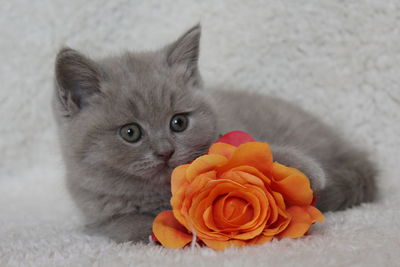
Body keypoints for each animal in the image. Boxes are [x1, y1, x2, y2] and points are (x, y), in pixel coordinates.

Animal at [52, 24, 376, 243]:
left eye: (178, 123)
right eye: (130, 132)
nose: (165, 151)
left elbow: (258, 155)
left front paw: (305, 172)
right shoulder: (100, 215)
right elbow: (131, 226)